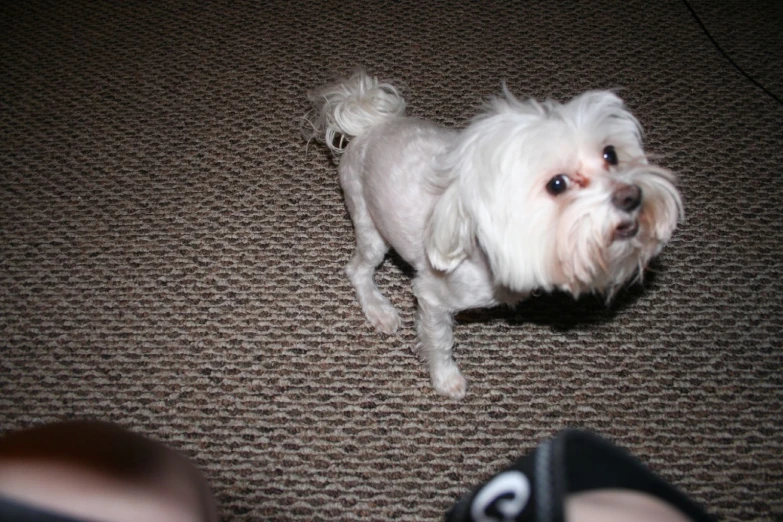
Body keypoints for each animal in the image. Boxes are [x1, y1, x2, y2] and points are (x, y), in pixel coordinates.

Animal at [304, 70, 684, 398]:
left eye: (610, 154)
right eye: (557, 184)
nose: (632, 196)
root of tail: (371, 125)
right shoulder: (432, 296)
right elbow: (439, 341)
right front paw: (446, 378)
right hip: (370, 226)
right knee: (358, 270)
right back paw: (379, 310)